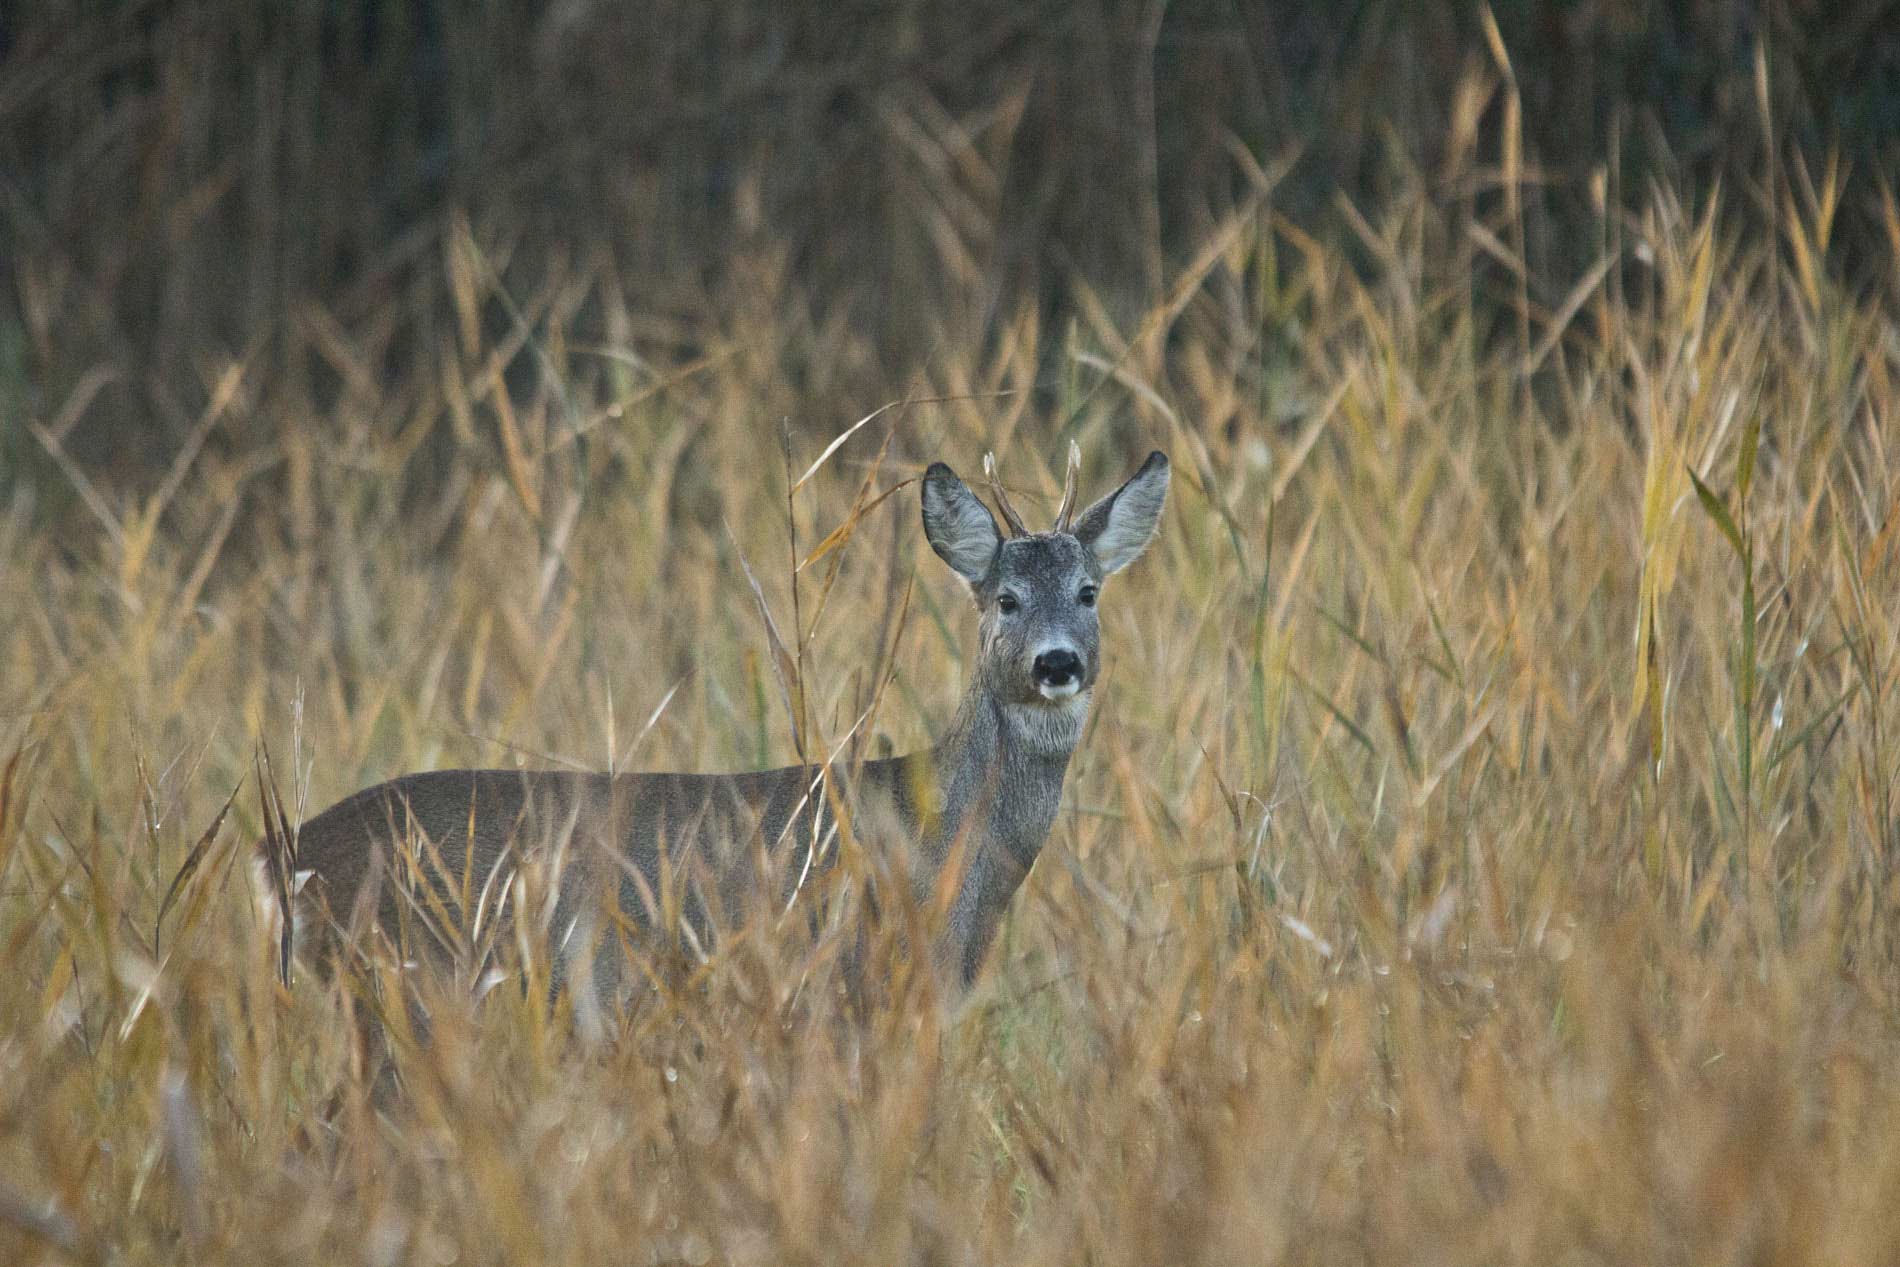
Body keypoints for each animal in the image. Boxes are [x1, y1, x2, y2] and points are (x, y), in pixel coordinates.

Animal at [277, 450, 1170, 1002]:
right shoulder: (848, 981)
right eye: (1005, 599)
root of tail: (278, 853)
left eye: (1088, 592)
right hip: (406, 983)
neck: (947, 840)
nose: (1057, 662)